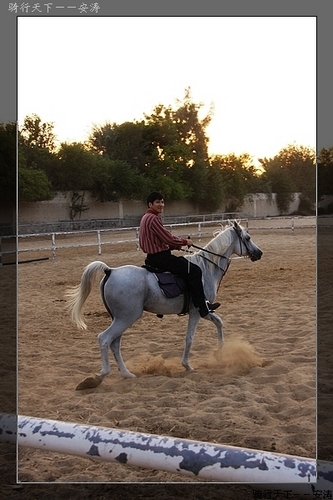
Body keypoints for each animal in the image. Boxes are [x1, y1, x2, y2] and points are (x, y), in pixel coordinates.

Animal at [65, 221, 262, 388]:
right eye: (247, 238)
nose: (259, 253)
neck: (206, 268)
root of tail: (110, 271)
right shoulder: (197, 311)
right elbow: (189, 338)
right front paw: (187, 365)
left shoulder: (204, 310)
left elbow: (219, 323)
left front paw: (220, 353)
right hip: (125, 318)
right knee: (104, 339)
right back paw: (101, 376)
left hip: (120, 319)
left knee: (114, 344)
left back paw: (127, 374)